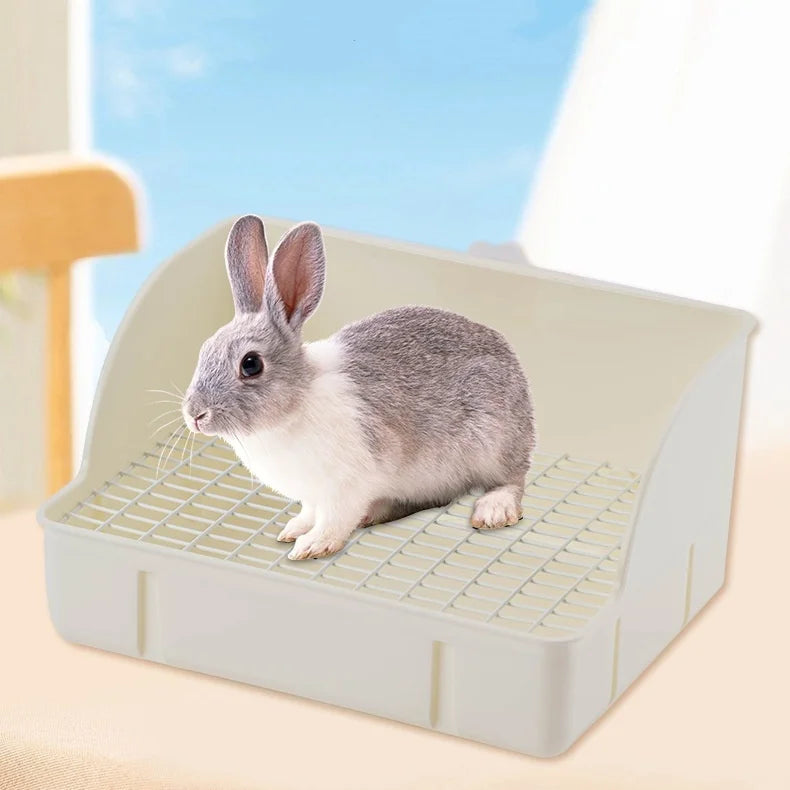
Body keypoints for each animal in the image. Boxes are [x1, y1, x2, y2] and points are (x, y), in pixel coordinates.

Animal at [182, 215, 536, 560]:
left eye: (251, 364)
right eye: (204, 349)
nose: (195, 415)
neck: (297, 402)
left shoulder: (346, 486)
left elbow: (335, 520)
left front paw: (312, 546)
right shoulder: (314, 495)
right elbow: (310, 512)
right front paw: (293, 529)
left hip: (493, 444)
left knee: (511, 481)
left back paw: (493, 511)